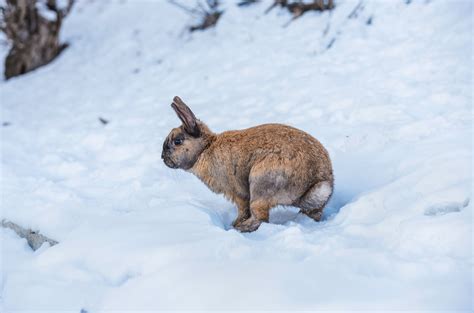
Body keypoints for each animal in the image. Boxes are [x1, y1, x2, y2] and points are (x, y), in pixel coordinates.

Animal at [162, 96, 334, 230]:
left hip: (260, 183)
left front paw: (236, 223)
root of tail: (318, 182)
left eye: (177, 141)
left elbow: (243, 210)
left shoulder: (237, 193)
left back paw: (240, 228)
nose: (163, 158)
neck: (205, 149)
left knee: (260, 218)